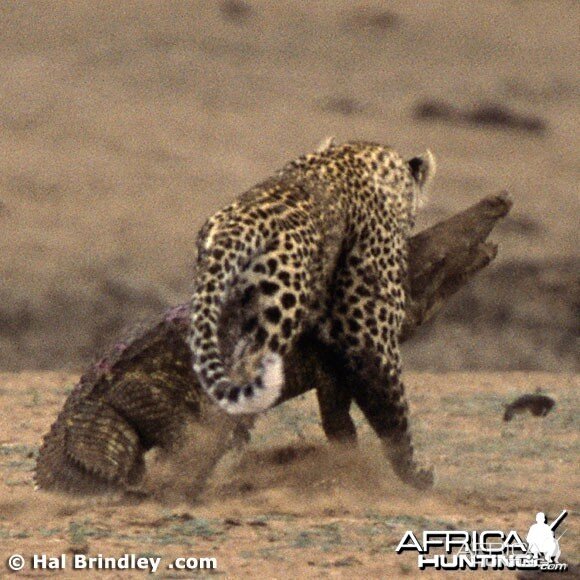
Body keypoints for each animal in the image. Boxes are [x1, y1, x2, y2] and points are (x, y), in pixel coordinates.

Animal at [189, 138, 436, 488]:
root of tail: (233, 231)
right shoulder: (367, 332)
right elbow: (391, 407)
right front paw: (414, 471)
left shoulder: (328, 340)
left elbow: (336, 402)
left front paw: (345, 456)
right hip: (274, 323)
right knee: (237, 396)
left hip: (215, 319)